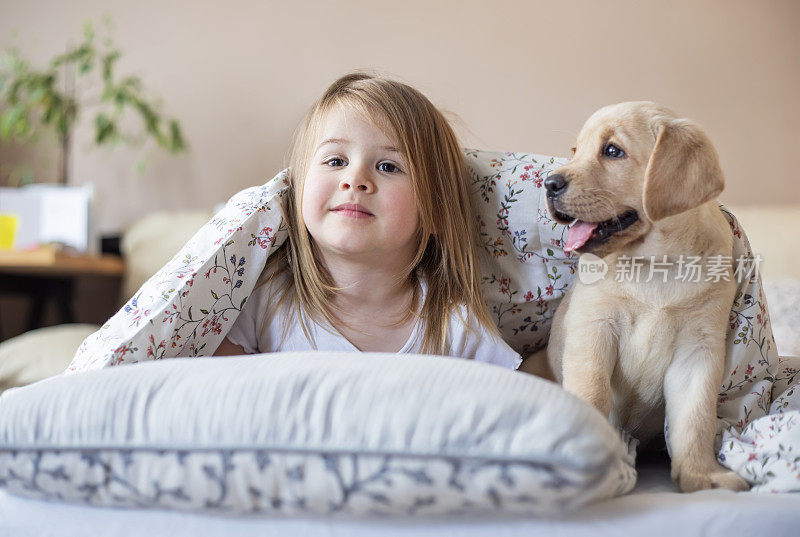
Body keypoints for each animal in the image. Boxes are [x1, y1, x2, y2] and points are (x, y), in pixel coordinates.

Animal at [532, 102, 752, 492]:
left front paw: (702, 474)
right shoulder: (594, 327)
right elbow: (592, 392)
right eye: (575, 150)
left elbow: (695, 418)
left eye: (612, 151)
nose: (550, 183)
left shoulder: (698, 349)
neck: (653, 265)